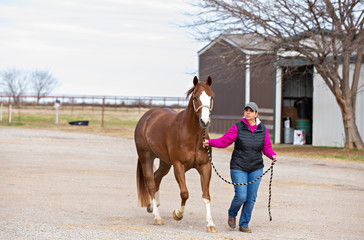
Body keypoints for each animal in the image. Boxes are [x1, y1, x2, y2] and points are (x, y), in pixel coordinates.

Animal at [136, 76, 216, 232]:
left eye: (211, 97)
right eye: (196, 97)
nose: (205, 121)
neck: (192, 134)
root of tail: (146, 117)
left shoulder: (205, 166)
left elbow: (206, 195)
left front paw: (210, 223)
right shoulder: (178, 166)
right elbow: (184, 193)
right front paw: (177, 214)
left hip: (165, 163)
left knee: (156, 178)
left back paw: (152, 207)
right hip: (146, 157)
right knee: (151, 182)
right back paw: (157, 217)